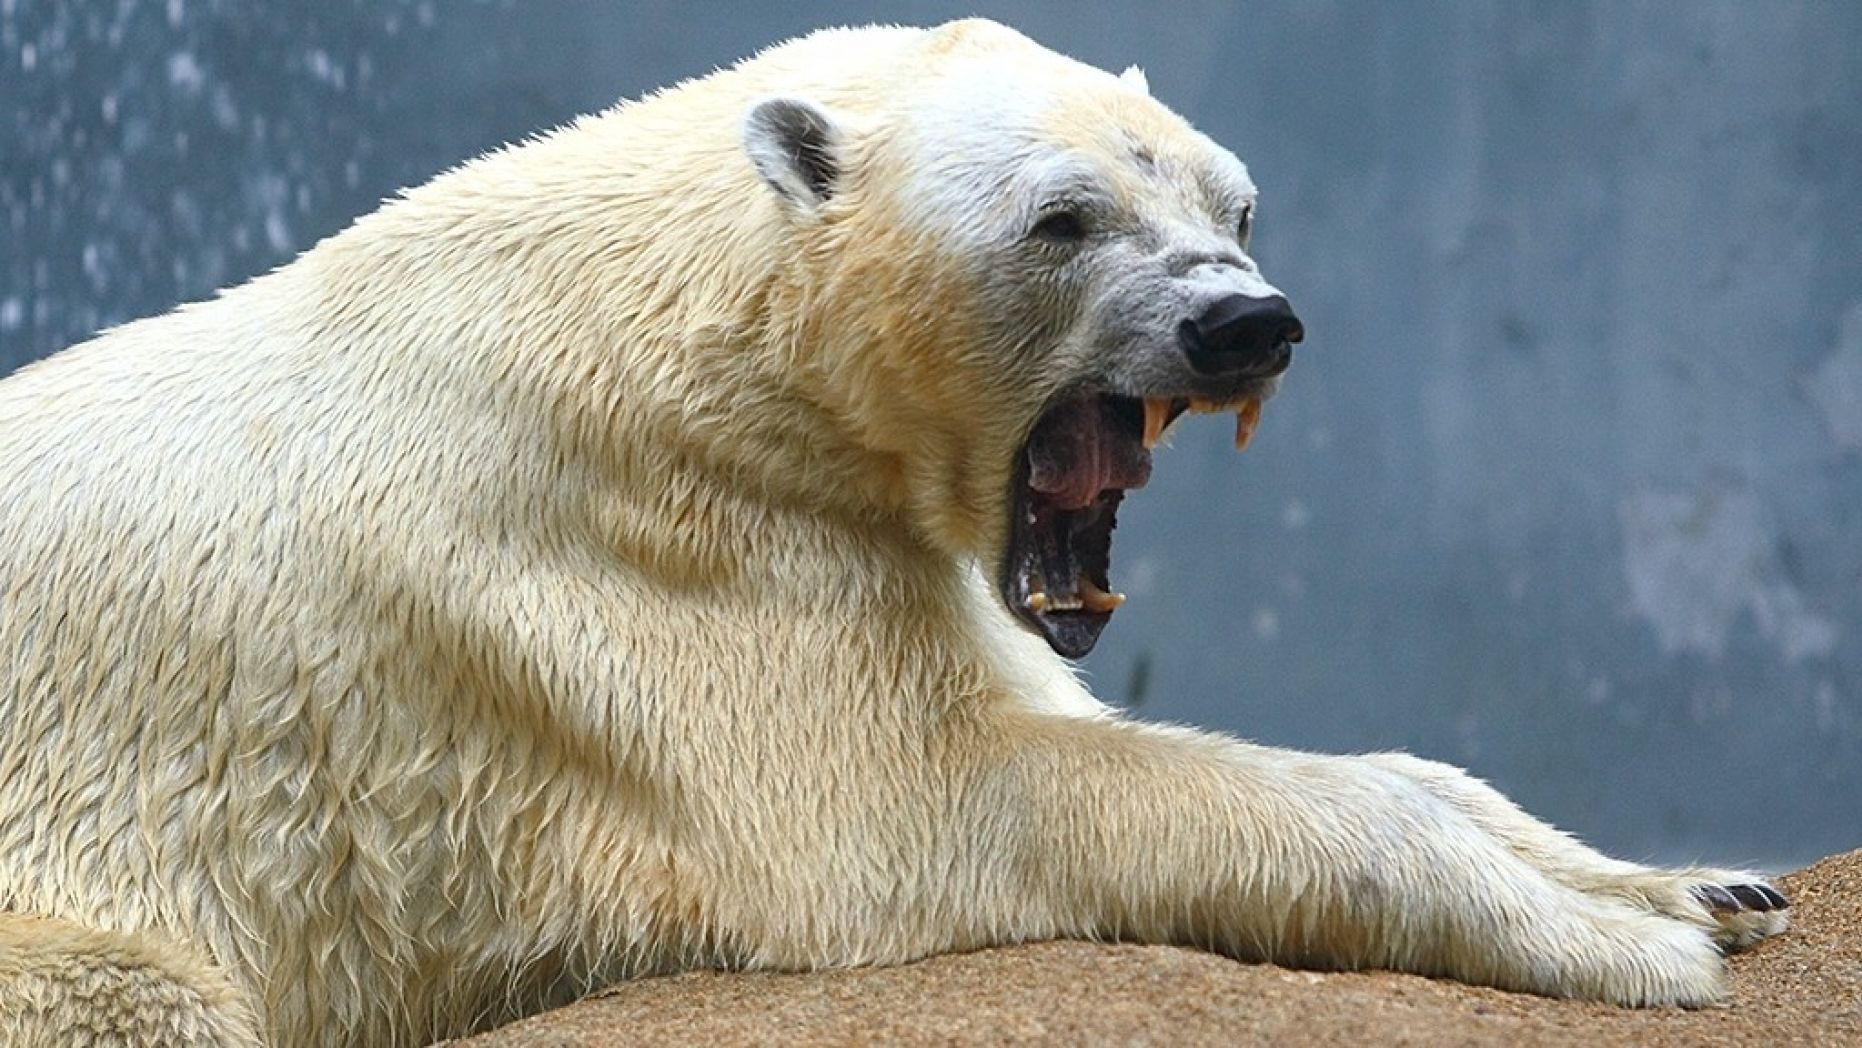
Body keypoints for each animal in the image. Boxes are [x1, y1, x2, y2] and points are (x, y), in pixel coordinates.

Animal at [0, 19, 1788, 1048]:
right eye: (1062, 218)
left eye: (1235, 202)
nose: (1245, 323)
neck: (691, 344)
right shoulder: (650, 548)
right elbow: (941, 801)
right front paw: (1623, 947)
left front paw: (1700, 884)